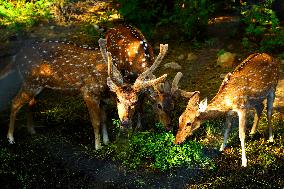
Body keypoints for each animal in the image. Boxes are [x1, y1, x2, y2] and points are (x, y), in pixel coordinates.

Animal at [3, 39, 168, 149]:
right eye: (119, 100)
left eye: (135, 101)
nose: (126, 122)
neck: (105, 84)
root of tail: (16, 57)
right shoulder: (88, 92)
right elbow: (96, 121)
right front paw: (98, 146)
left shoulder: (102, 98)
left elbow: (104, 119)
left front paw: (107, 141)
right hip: (31, 82)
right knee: (14, 102)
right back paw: (10, 138)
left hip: (38, 86)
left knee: (30, 103)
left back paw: (32, 130)